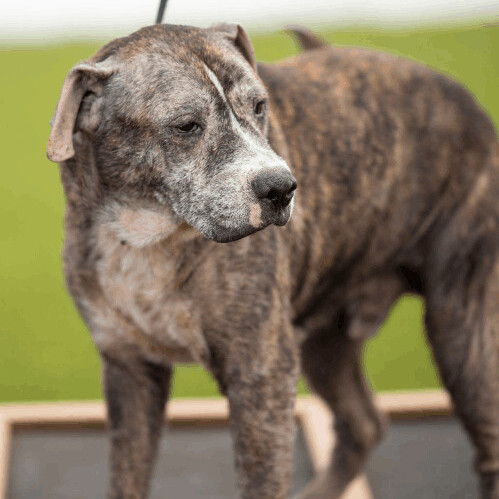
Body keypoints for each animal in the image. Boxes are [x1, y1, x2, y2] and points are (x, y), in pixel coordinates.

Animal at [47, 22, 499, 499]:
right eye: (187, 126)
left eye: (260, 106)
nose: (280, 188)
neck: (146, 237)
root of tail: (465, 98)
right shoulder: (129, 370)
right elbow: (127, 480)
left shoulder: (260, 374)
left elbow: (261, 481)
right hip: (325, 340)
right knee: (363, 425)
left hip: (460, 326)